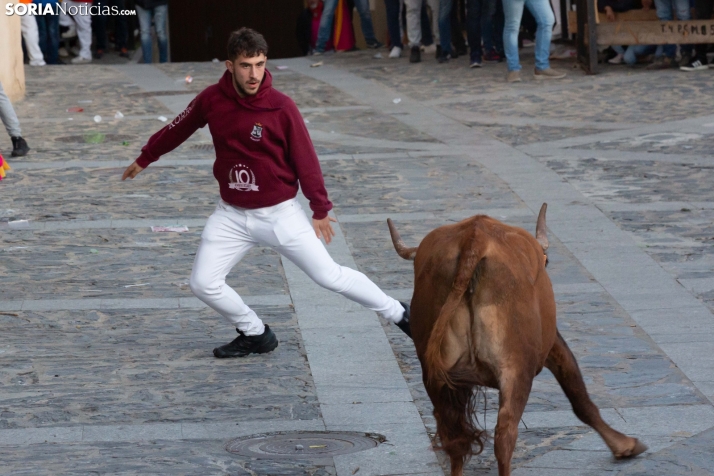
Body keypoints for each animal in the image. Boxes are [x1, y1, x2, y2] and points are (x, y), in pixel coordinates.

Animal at [386, 203, 648, 474]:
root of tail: (474, 238)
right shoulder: (552, 344)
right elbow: (580, 398)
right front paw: (625, 445)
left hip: (436, 378)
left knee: (455, 442)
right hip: (517, 368)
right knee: (505, 435)